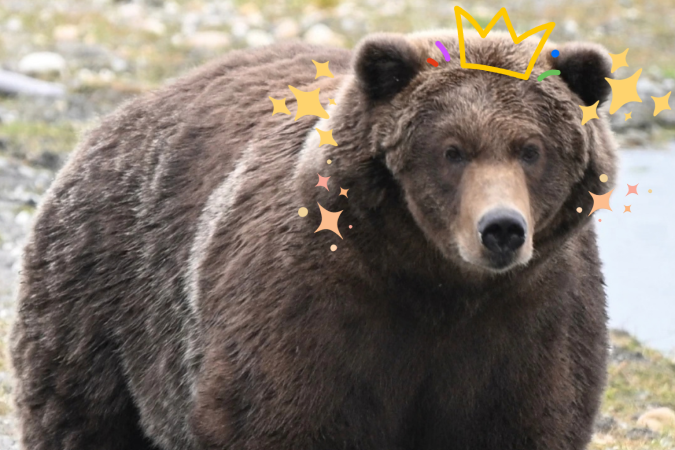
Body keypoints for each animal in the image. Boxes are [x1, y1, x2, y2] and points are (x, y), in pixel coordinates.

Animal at [10, 29, 617, 450]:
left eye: (531, 149)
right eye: (452, 149)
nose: (501, 229)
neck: (438, 284)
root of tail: (110, 122)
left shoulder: (528, 324)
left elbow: (525, 418)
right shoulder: (315, 304)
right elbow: (280, 414)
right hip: (105, 306)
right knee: (81, 418)